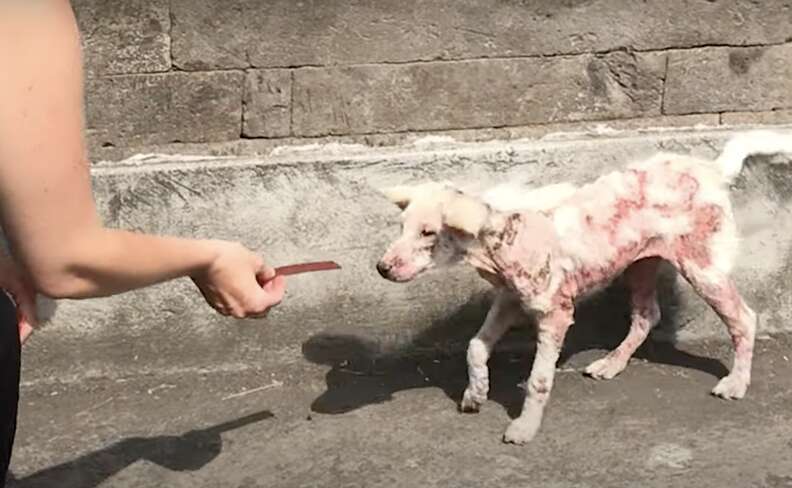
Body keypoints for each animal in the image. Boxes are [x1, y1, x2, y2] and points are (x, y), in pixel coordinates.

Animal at [376, 131, 792, 446]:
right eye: (402, 227)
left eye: (428, 233)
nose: (381, 268)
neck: (506, 236)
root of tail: (711, 170)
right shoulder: (509, 300)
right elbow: (475, 346)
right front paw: (475, 394)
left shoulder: (556, 315)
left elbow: (539, 379)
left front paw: (525, 427)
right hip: (639, 263)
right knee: (647, 314)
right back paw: (612, 363)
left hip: (703, 267)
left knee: (744, 319)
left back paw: (736, 382)